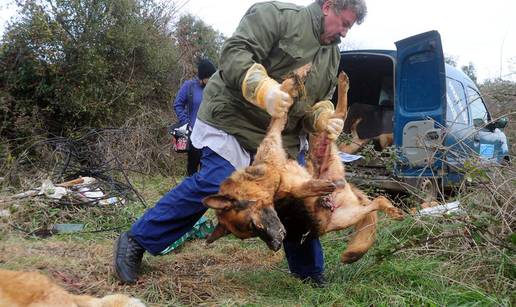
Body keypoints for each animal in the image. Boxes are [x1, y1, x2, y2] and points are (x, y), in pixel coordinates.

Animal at [203, 68, 404, 264]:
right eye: (251, 232)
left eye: (253, 226)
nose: (276, 245)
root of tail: (344, 184)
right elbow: (297, 190)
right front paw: (314, 188)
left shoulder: (273, 139)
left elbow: (277, 116)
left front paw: (289, 85)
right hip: (346, 217)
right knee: (377, 201)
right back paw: (392, 210)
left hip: (320, 141)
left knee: (338, 115)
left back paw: (342, 84)